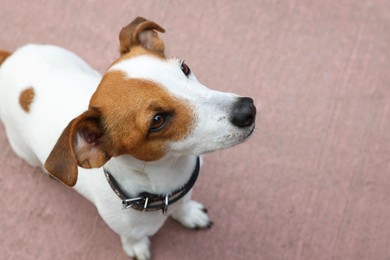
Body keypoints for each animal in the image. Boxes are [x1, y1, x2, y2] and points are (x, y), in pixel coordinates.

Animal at [0, 17, 256, 258]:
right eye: (157, 120)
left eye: (184, 68)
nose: (248, 110)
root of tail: (9, 59)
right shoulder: (128, 228)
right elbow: (134, 238)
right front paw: (137, 246)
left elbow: (184, 206)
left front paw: (189, 213)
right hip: (23, 149)